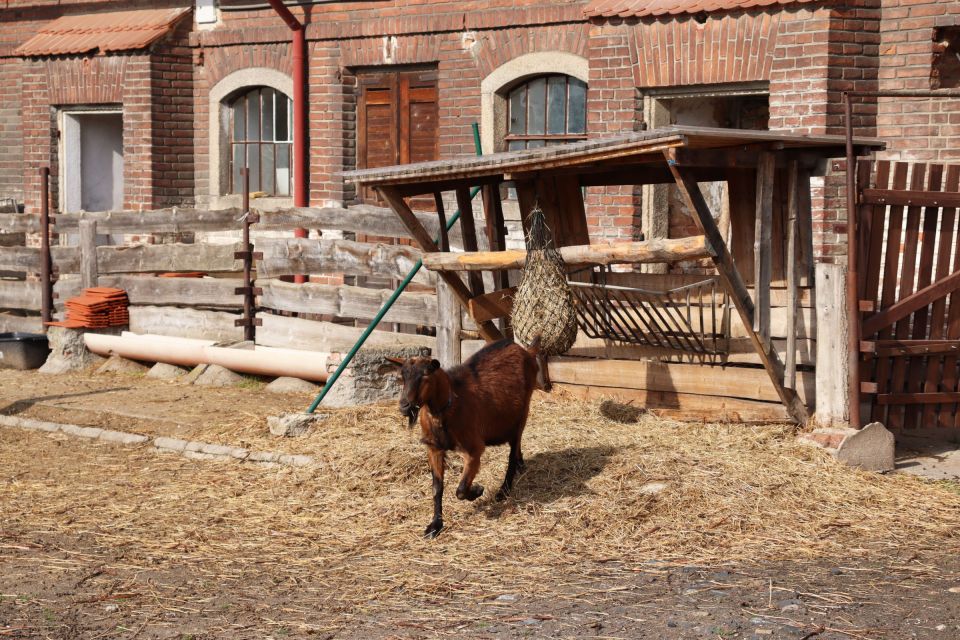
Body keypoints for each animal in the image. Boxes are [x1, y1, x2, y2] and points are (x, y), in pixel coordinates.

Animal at [384, 338, 548, 536]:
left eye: (425, 375)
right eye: (402, 377)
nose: (404, 406)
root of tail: (526, 351)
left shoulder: (473, 449)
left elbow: (461, 490)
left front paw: (477, 490)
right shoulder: (434, 448)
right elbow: (437, 488)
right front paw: (435, 525)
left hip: (522, 415)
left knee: (512, 452)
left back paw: (503, 491)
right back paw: (520, 465)